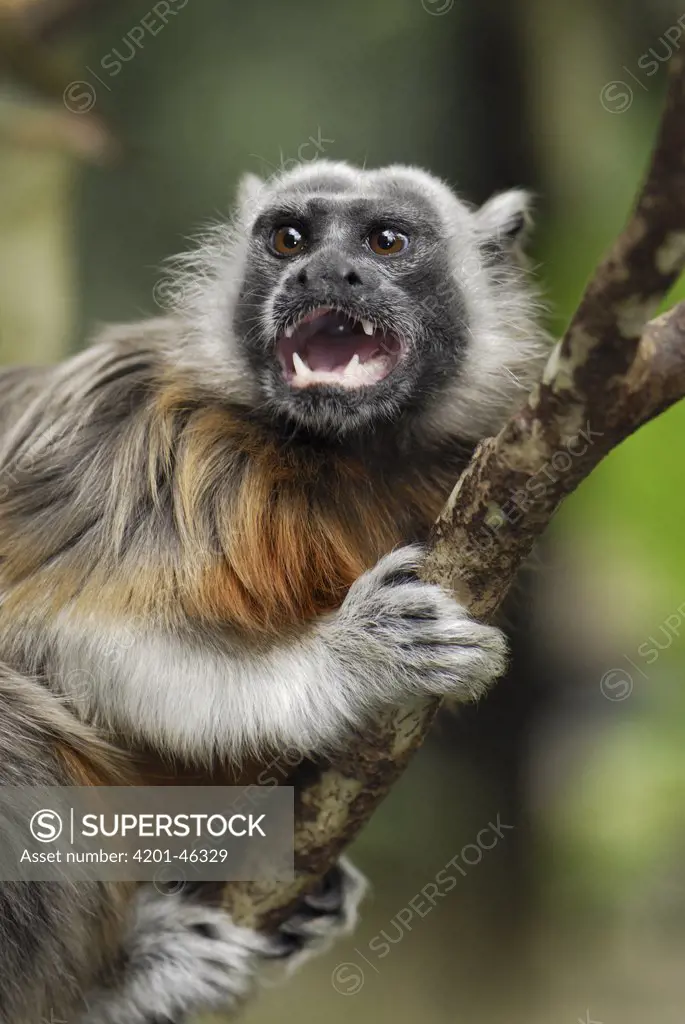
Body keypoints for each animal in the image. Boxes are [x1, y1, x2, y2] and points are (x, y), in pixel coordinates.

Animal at [0, 161, 548, 1024]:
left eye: (384, 242)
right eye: (289, 238)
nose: (322, 273)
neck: (327, 455)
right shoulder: (146, 461)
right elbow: (73, 640)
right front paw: (356, 661)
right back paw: (113, 990)